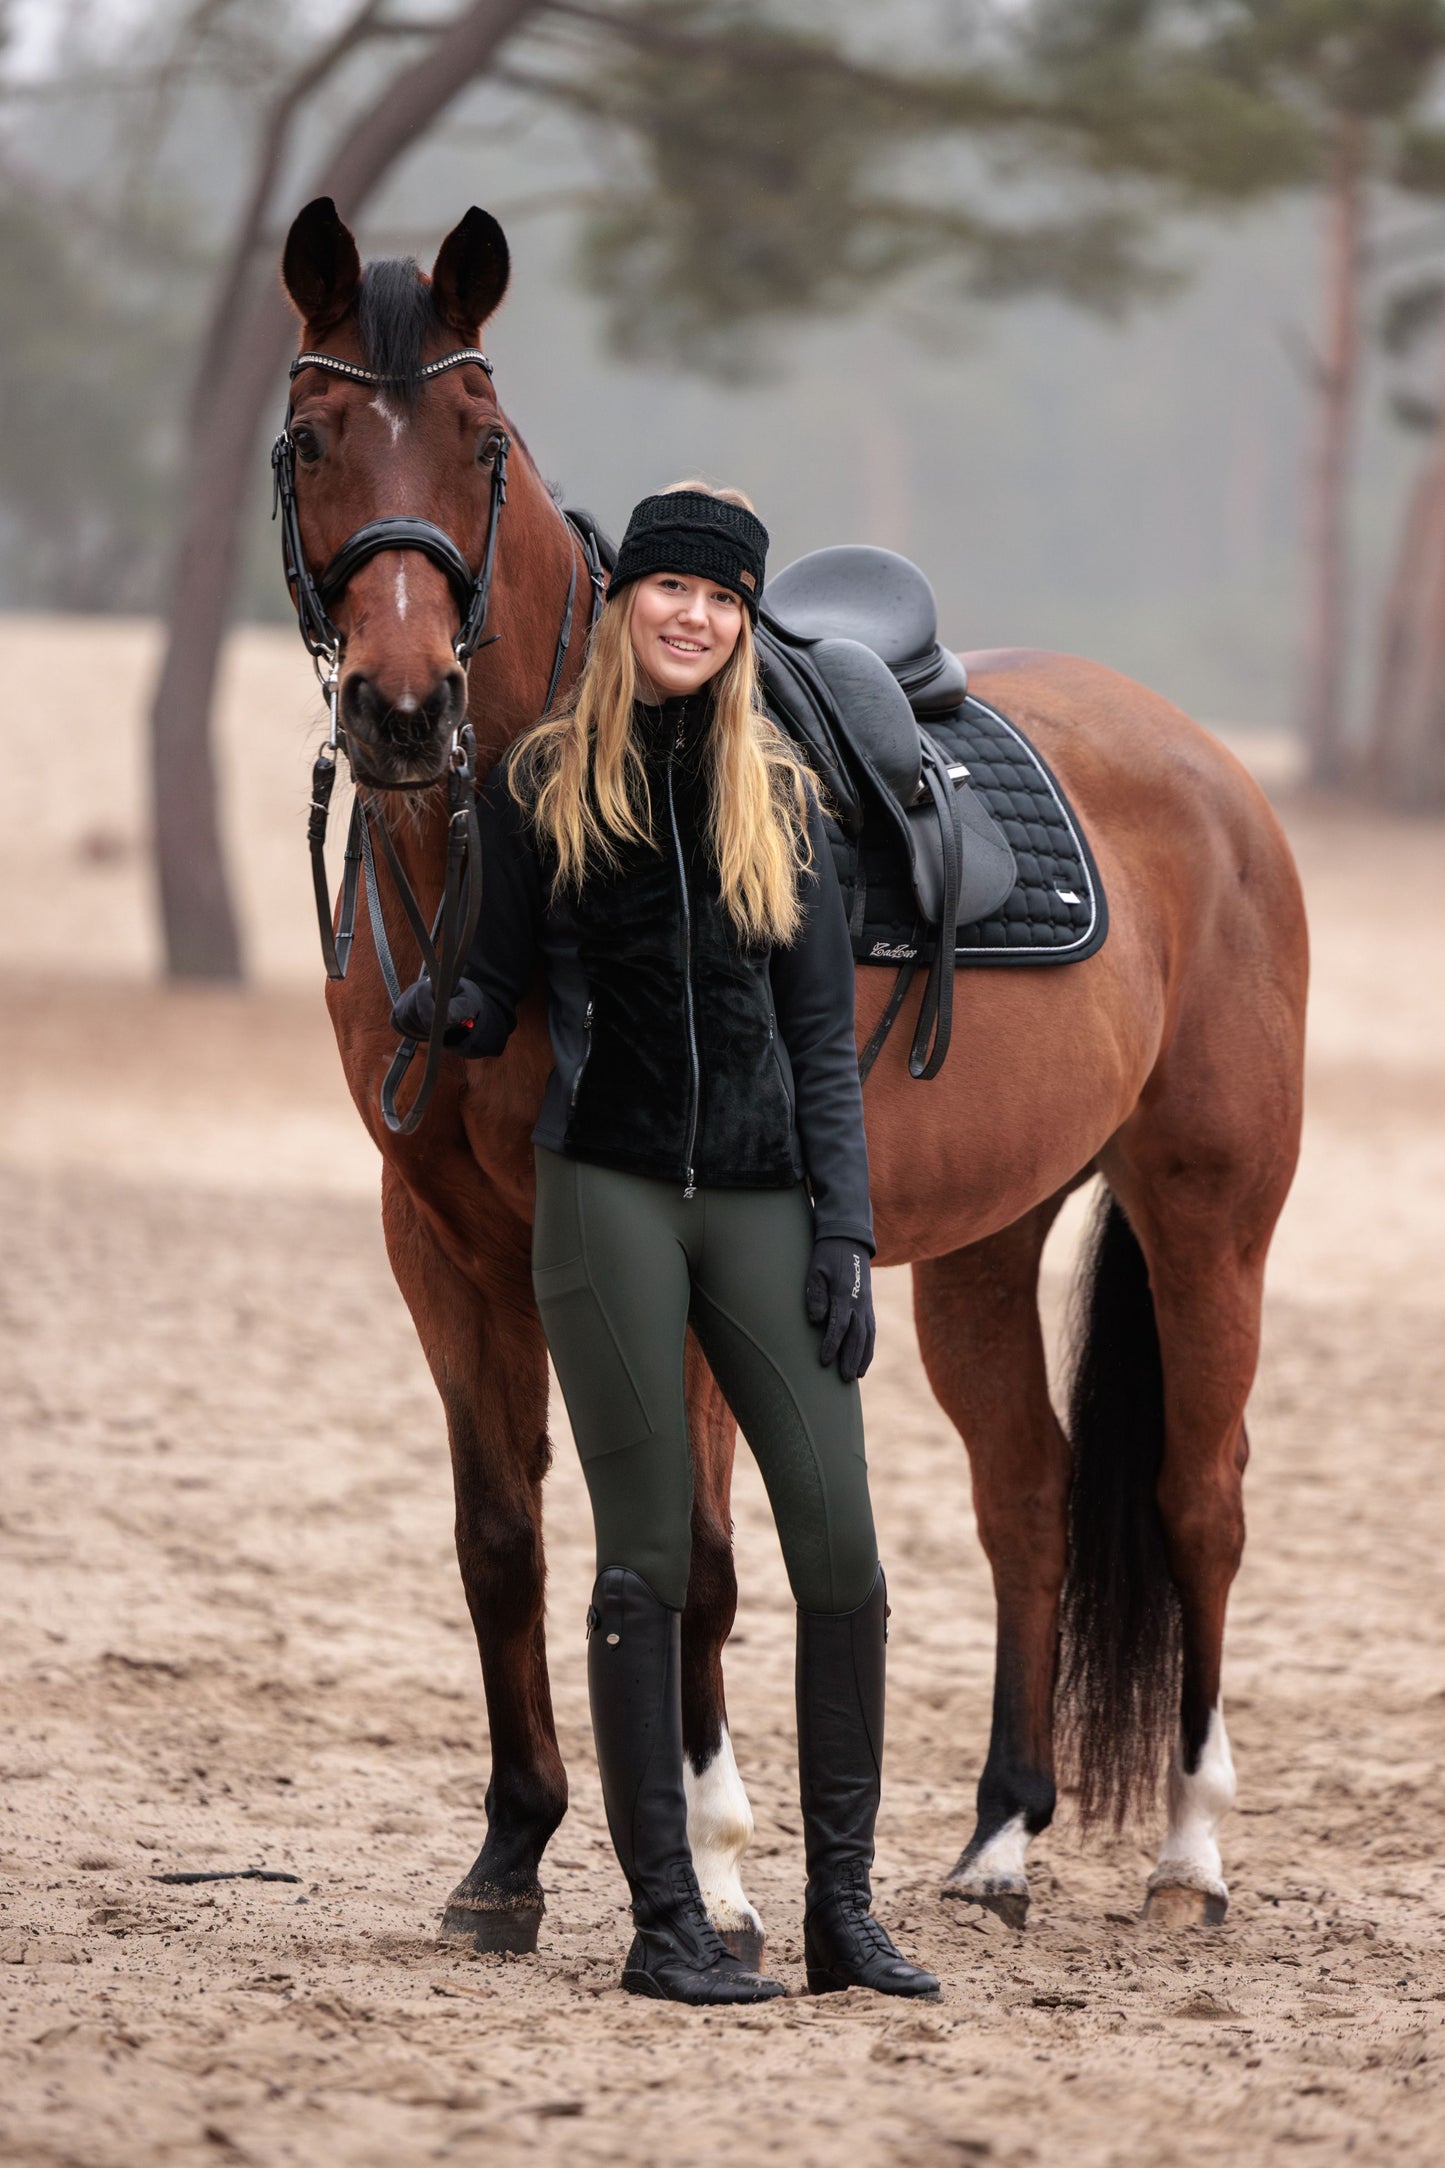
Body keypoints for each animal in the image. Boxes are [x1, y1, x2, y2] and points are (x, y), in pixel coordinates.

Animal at [279, 203, 1308, 1959]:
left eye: (482, 442)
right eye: (306, 441)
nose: (405, 710)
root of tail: (1214, 775)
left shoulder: (676, 1234)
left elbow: (694, 1553)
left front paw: (718, 1871)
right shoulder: (442, 1239)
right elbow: (501, 1536)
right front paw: (508, 1858)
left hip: (1208, 1219)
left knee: (1199, 1499)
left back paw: (1187, 1855)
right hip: (984, 1244)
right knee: (1027, 1493)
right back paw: (997, 1845)